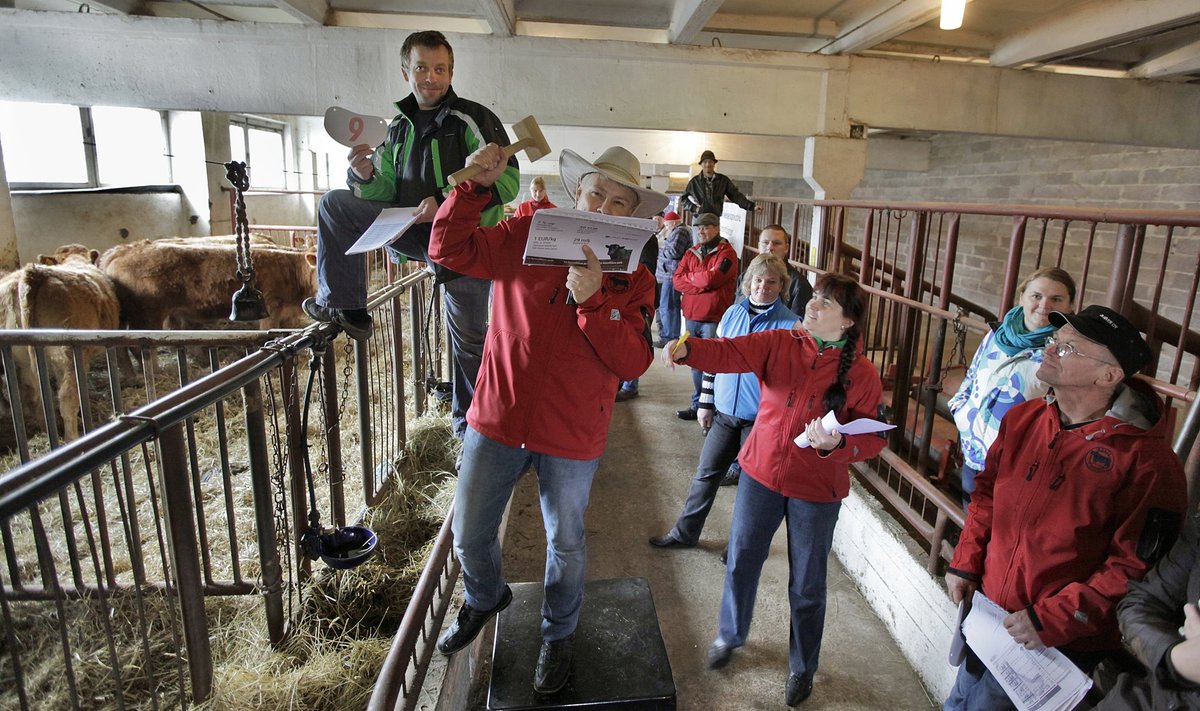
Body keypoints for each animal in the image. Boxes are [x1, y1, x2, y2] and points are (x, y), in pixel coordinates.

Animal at [0, 241, 120, 437]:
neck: (74, 260)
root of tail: (33, 274)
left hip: (19, 360)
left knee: (32, 395)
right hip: (68, 353)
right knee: (67, 397)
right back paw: (73, 436)